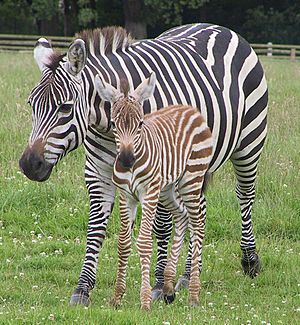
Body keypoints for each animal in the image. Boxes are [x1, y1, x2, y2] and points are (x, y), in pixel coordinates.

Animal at [95, 73, 214, 308]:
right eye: (113, 124)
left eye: (140, 124)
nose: (126, 160)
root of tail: (191, 109)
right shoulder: (126, 196)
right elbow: (123, 243)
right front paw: (117, 296)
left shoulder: (148, 193)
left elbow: (143, 242)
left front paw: (145, 301)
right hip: (167, 189)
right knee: (182, 216)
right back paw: (168, 287)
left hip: (191, 180)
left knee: (198, 224)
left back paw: (194, 294)